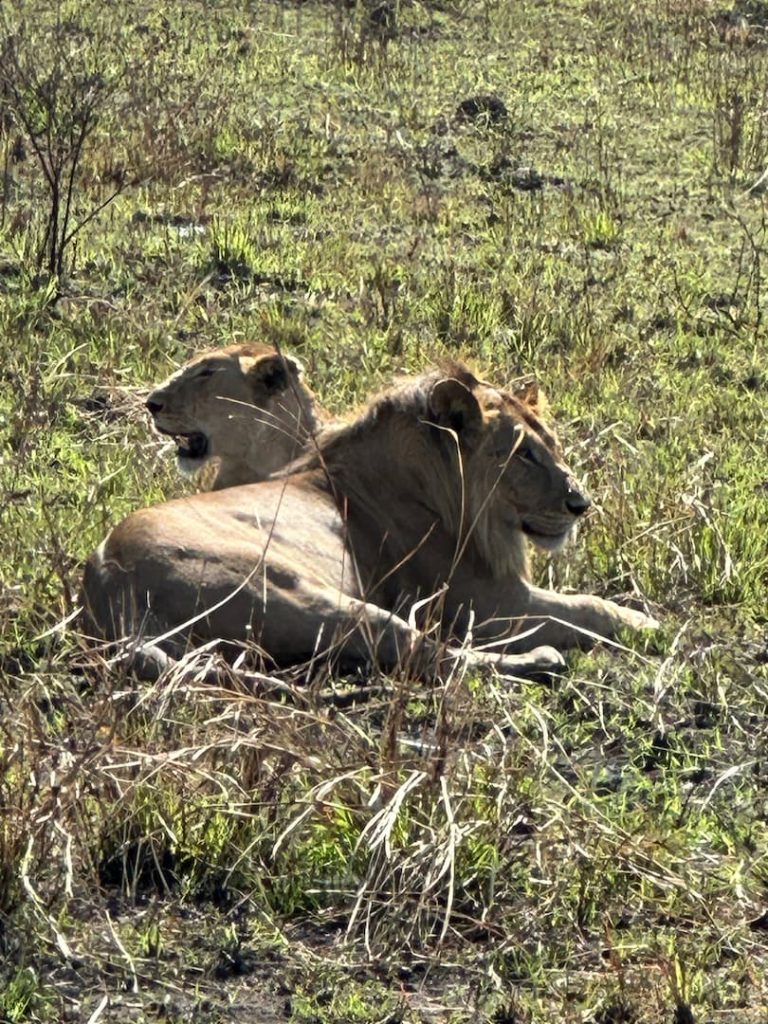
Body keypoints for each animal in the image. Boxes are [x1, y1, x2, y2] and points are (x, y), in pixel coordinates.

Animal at [83, 363, 656, 683]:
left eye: (552, 446)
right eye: (524, 455)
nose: (581, 503)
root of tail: (110, 587)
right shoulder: (487, 604)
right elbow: (588, 606)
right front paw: (644, 624)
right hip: (310, 596)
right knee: (434, 657)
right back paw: (539, 660)